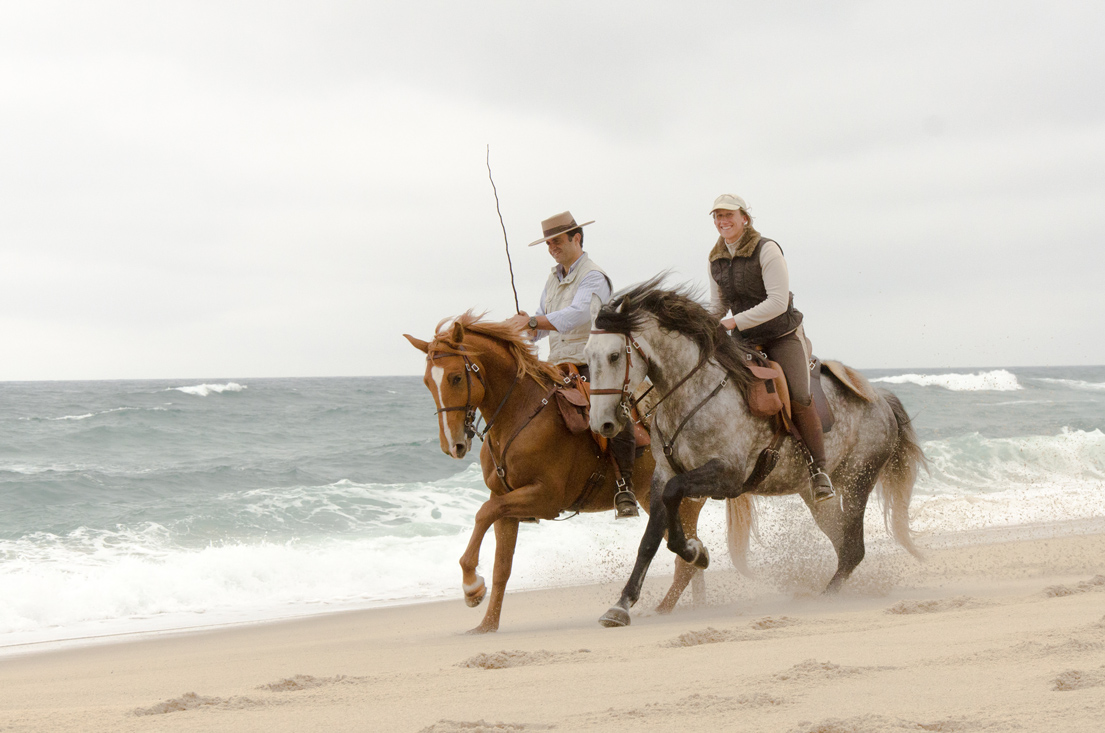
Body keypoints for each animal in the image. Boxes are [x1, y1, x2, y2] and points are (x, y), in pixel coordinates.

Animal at [406, 311, 707, 632]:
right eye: (427, 382)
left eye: (456, 377)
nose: (453, 445)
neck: (520, 414)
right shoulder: (506, 502)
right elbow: (501, 566)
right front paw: (486, 624)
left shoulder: (546, 498)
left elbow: (484, 513)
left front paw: (472, 586)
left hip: (676, 504)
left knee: (686, 560)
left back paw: (659, 610)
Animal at [587, 278, 923, 627]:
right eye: (587, 356)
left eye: (614, 356)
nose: (602, 423)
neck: (690, 393)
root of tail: (881, 398)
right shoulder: (663, 473)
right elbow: (652, 536)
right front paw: (622, 604)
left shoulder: (729, 476)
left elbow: (673, 497)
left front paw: (695, 551)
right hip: (815, 496)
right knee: (844, 543)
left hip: (859, 480)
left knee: (854, 548)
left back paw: (825, 600)